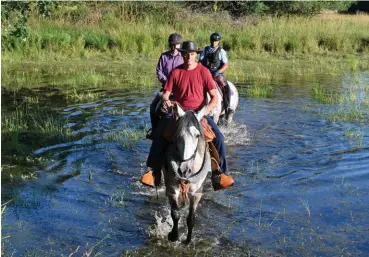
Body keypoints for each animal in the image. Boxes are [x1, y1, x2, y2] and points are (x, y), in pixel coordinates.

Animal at [163, 103, 211, 242]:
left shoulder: (196, 192)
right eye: (177, 136)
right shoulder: (172, 187)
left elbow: (191, 218)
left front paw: (188, 240)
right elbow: (175, 213)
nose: (183, 169)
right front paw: (173, 235)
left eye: (197, 135)